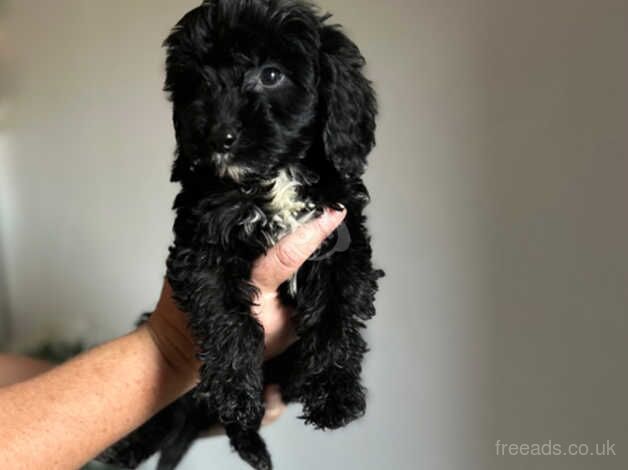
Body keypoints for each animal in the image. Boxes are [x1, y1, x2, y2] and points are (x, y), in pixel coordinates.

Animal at [98, 0, 382, 470]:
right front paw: (234, 394)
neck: (271, 178)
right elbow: (230, 319)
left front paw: (335, 394)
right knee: (168, 415)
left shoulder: (340, 240)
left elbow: (336, 315)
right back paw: (126, 451)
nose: (215, 136)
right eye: (197, 80)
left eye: (271, 75)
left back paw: (252, 445)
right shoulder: (203, 246)